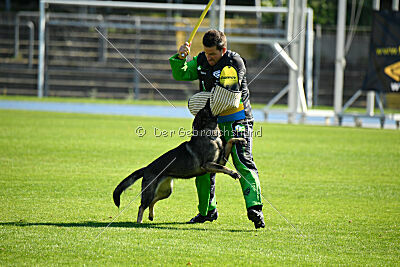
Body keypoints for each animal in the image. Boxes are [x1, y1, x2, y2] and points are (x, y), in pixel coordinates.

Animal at [111, 100, 245, 224]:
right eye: (206, 109)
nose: (208, 99)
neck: (208, 136)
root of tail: (147, 167)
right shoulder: (208, 165)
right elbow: (224, 169)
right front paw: (234, 173)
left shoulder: (221, 161)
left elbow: (230, 141)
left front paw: (240, 140)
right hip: (150, 192)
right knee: (141, 206)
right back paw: (139, 222)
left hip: (166, 192)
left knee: (152, 201)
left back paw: (151, 215)